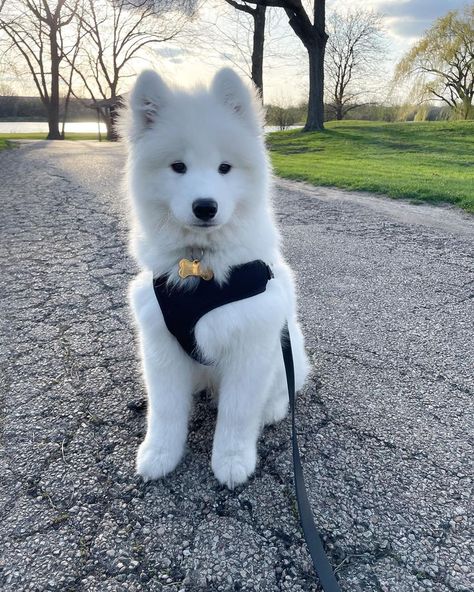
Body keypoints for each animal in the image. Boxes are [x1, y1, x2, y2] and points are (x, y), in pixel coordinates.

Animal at [125, 67, 312, 488]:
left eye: (225, 168)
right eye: (178, 167)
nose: (205, 206)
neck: (201, 265)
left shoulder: (251, 345)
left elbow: (237, 415)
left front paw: (231, 461)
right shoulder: (161, 347)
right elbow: (165, 411)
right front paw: (159, 455)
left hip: (287, 348)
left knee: (285, 388)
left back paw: (273, 410)